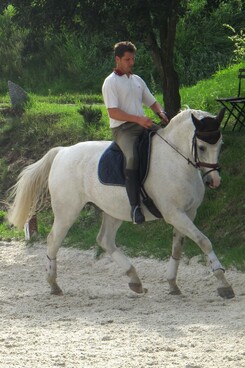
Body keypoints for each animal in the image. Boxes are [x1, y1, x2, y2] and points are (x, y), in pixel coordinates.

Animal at [6, 108, 234, 298]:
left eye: (220, 145)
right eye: (202, 147)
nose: (214, 181)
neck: (176, 160)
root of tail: (62, 151)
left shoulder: (188, 212)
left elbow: (177, 249)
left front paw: (172, 284)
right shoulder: (174, 214)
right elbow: (204, 241)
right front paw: (223, 284)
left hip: (113, 210)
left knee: (104, 240)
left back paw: (135, 280)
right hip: (67, 210)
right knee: (54, 240)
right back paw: (53, 284)